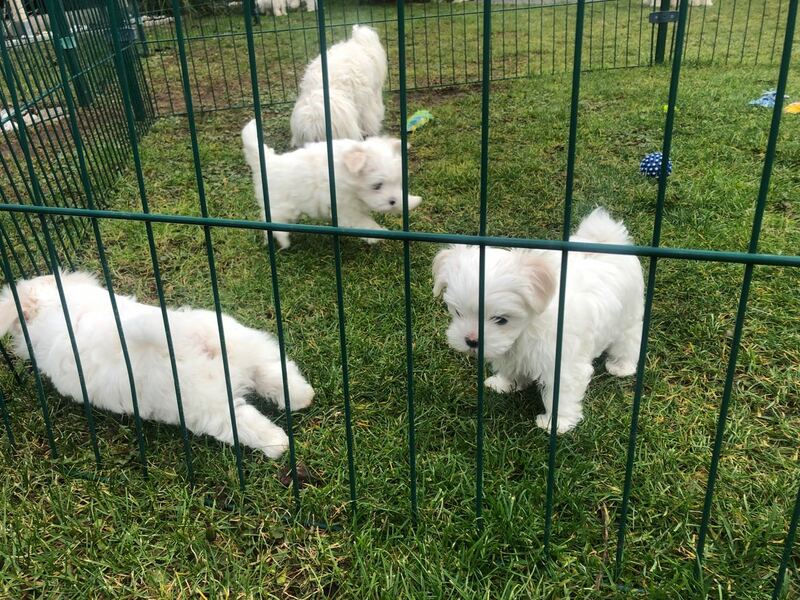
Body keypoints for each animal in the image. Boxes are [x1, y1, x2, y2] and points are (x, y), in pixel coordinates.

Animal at [0, 272, 314, 458]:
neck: (53, 307)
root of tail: (178, 338)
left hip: (205, 404)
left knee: (245, 423)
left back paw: (278, 444)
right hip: (237, 343)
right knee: (272, 371)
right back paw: (301, 398)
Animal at [242, 119, 421, 249]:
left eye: (399, 183)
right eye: (377, 186)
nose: (393, 201)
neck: (346, 174)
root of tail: (268, 162)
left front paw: (412, 201)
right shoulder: (344, 207)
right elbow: (362, 222)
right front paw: (377, 234)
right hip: (282, 205)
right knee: (272, 219)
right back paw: (283, 240)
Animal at [432, 208, 645, 433]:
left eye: (501, 320)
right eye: (458, 312)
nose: (472, 341)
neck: (528, 328)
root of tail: (607, 240)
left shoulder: (562, 364)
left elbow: (561, 394)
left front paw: (557, 424)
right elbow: (510, 368)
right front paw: (504, 384)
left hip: (630, 315)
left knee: (629, 342)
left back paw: (621, 367)